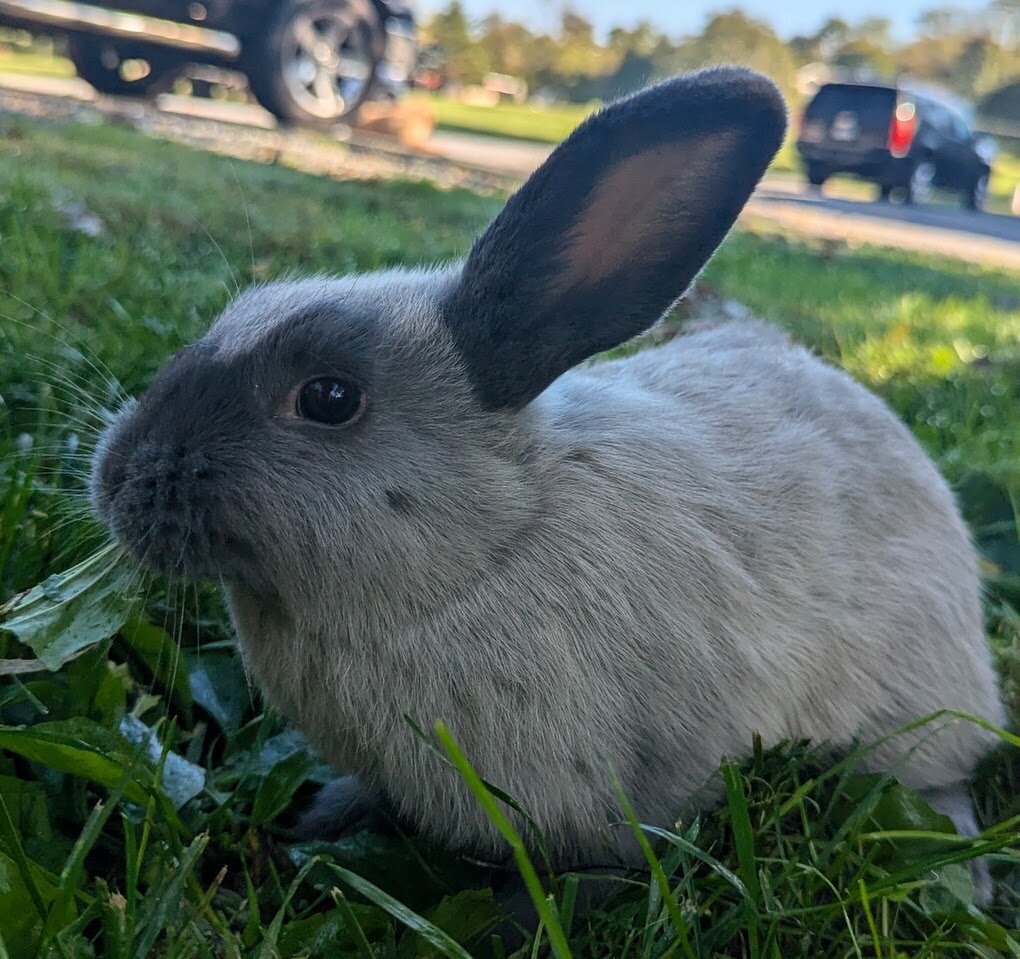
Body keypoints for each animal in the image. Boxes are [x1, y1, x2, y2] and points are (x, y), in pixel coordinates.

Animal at [90, 67, 1004, 898]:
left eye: (329, 398)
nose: (115, 477)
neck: (494, 545)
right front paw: (323, 816)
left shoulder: (642, 789)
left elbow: (606, 867)